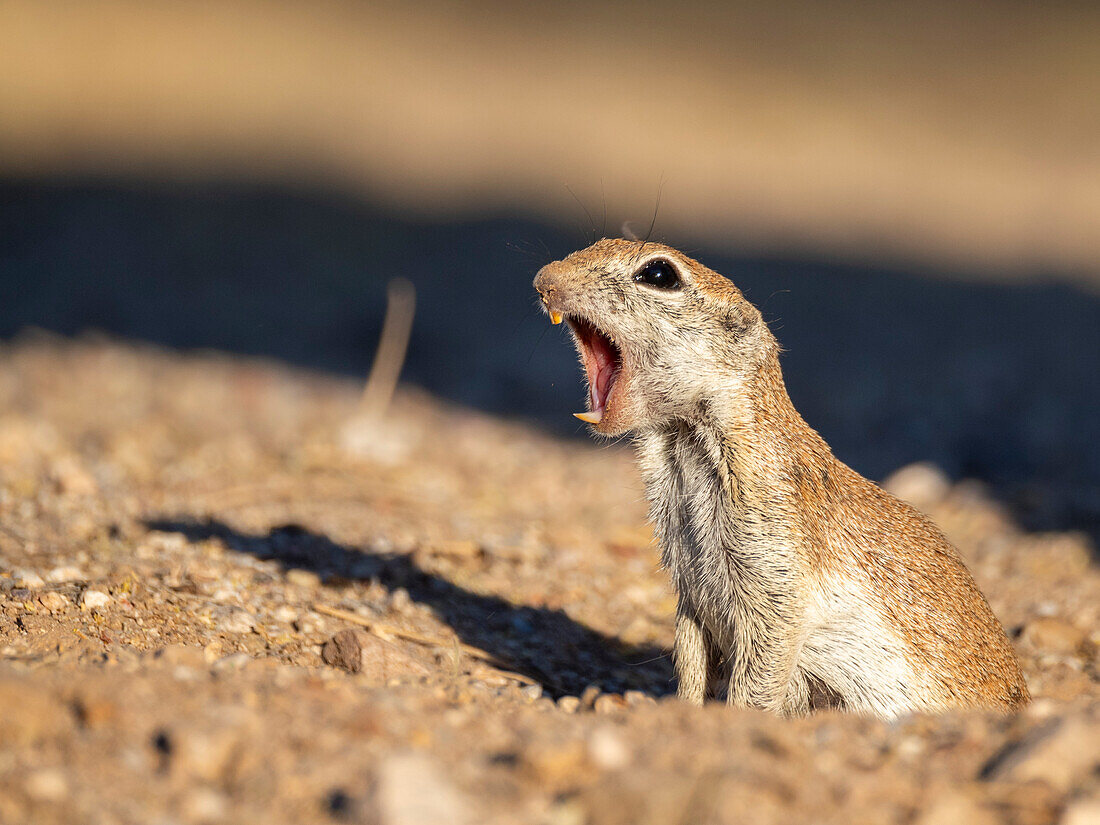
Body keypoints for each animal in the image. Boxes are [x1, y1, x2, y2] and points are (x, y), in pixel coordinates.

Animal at [534, 237, 1029, 717]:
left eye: (659, 274)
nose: (544, 278)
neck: (683, 449)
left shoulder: (776, 565)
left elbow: (762, 666)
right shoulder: (689, 588)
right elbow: (691, 662)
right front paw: (682, 710)